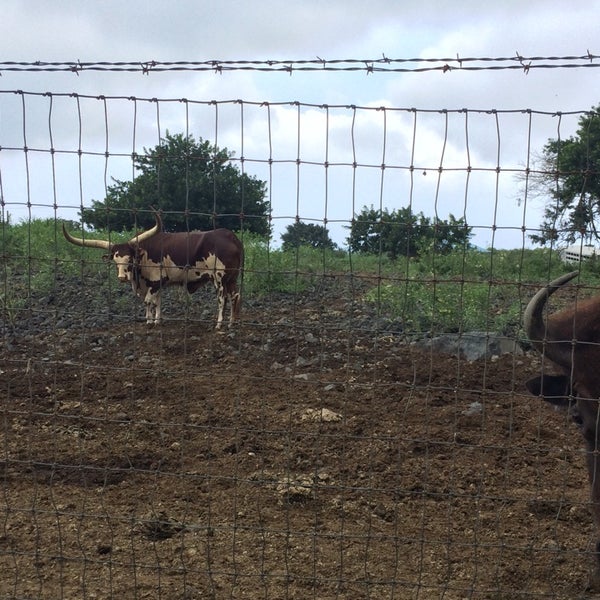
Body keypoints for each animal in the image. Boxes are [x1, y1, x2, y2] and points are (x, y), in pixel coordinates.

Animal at [63, 213, 244, 330]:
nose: (122, 277)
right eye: (115, 260)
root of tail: (231, 236)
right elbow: (157, 301)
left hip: (219, 278)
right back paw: (232, 323)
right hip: (231, 279)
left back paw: (219, 324)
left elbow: (148, 301)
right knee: (235, 296)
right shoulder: (155, 284)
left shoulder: (156, 281)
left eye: (130, 258)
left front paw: (149, 321)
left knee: (222, 299)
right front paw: (157, 320)